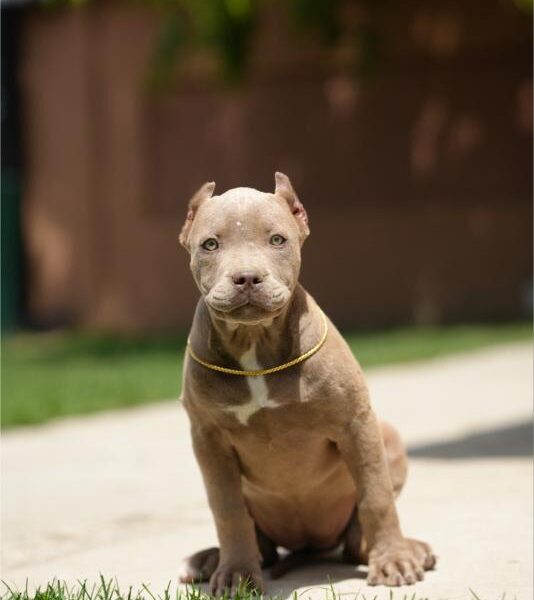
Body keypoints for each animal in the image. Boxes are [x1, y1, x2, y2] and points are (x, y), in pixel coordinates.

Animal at [178, 175, 438, 596]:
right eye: (210, 245)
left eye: (277, 240)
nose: (246, 277)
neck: (256, 344)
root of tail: (309, 544)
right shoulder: (208, 439)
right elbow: (228, 509)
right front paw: (236, 575)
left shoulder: (355, 423)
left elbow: (376, 496)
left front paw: (394, 561)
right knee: (260, 543)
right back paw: (208, 559)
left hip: (388, 438)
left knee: (358, 538)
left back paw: (408, 549)